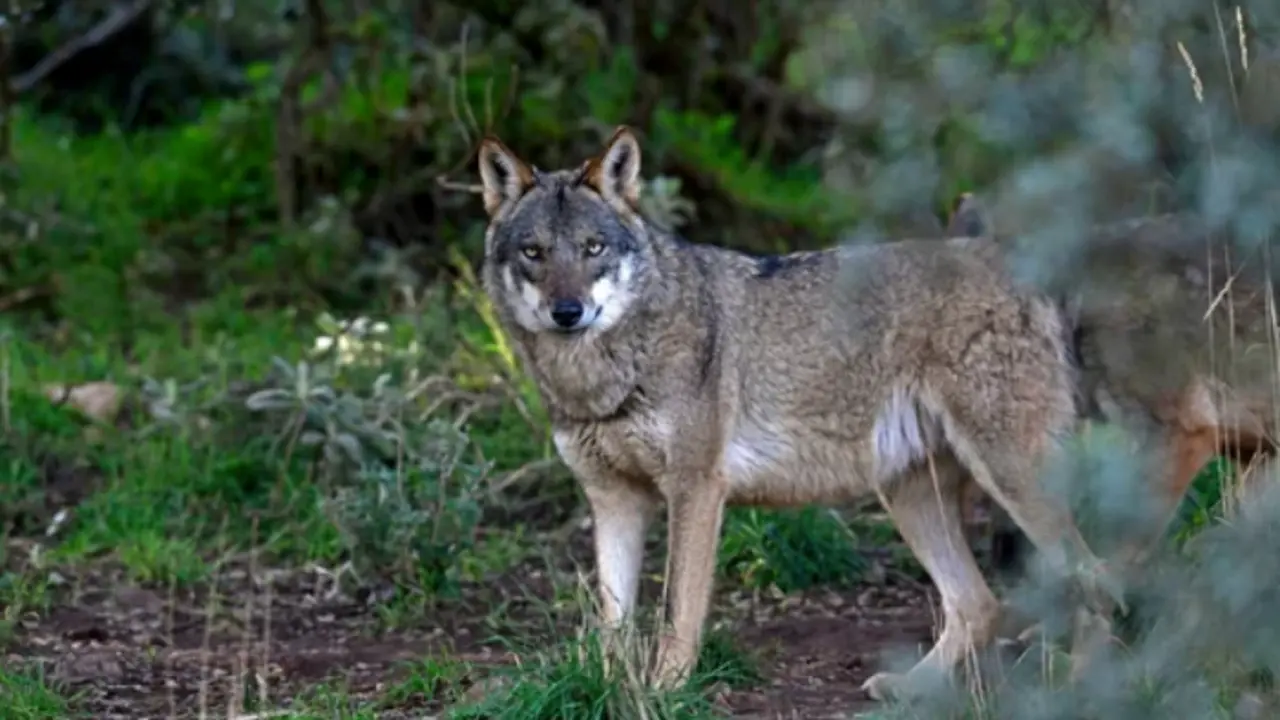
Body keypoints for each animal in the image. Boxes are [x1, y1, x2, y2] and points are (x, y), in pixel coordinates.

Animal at [475, 127, 1116, 700]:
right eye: (534, 253)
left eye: (593, 249)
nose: (567, 311)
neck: (601, 378)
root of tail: (1013, 262)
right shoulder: (613, 500)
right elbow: (612, 624)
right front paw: (612, 691)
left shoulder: (696, 489)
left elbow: (677, 612)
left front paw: (665, 693)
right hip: (910, 495)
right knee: (980, 604)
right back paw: (911, 689)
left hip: (1011, 480)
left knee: (1093, 580)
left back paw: (1082, 690)